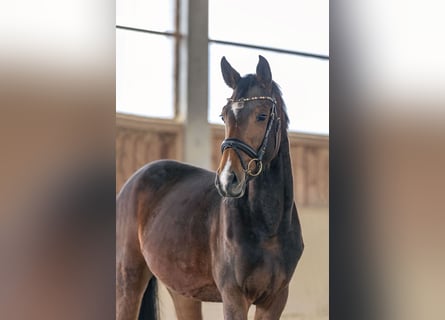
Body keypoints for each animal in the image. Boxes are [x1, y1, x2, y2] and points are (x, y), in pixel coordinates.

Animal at [116, 55, 304, 320]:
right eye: (225, 116)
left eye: (262, 115)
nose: (227, 179)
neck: (269, 228)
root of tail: (133, 182)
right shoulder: (234, 297)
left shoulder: (275, 299)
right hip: (128, 277)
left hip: (182, 290)